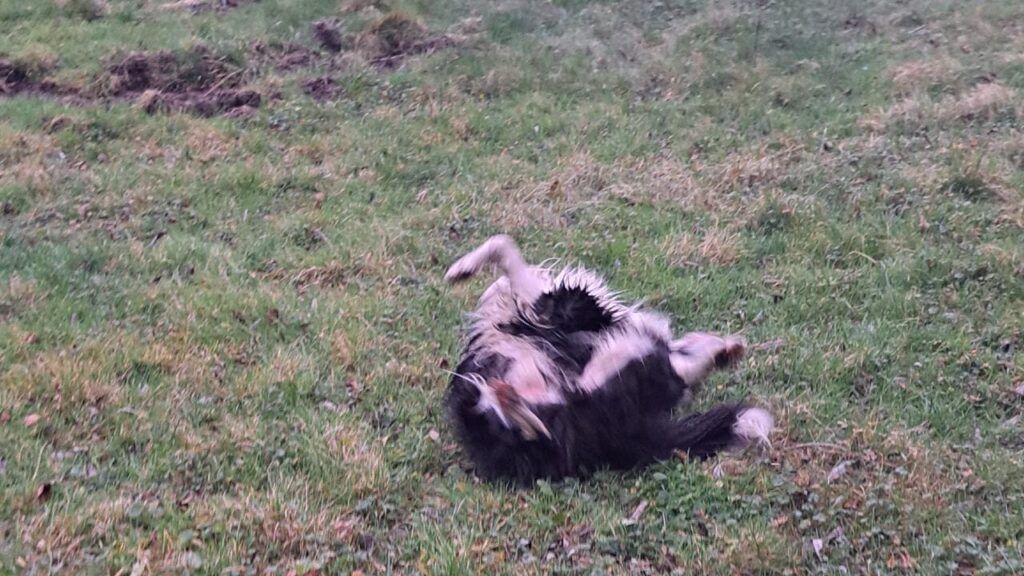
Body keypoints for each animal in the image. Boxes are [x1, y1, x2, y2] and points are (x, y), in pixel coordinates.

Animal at [444, 234, 770, 483]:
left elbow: (505, 251)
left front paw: (462, 269)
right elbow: (505, 249)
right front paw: (463, 269)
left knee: (531, 425)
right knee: (528, 425)